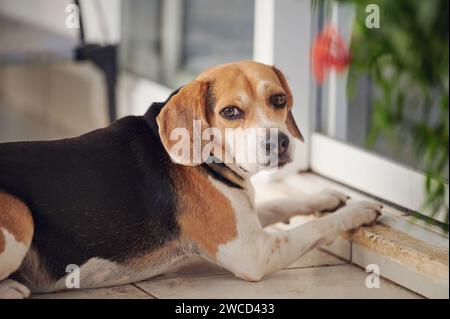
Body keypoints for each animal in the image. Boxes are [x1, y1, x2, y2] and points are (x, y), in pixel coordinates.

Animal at [0, 61, 382, 298]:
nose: (280, 142)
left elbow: (279, 204)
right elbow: (315, 228)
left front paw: (327, 198)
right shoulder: (253, 252)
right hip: (19, 215)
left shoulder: (242, 216)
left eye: (279, 99)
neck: (209, 159)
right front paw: (359, 209)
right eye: (230, 112)